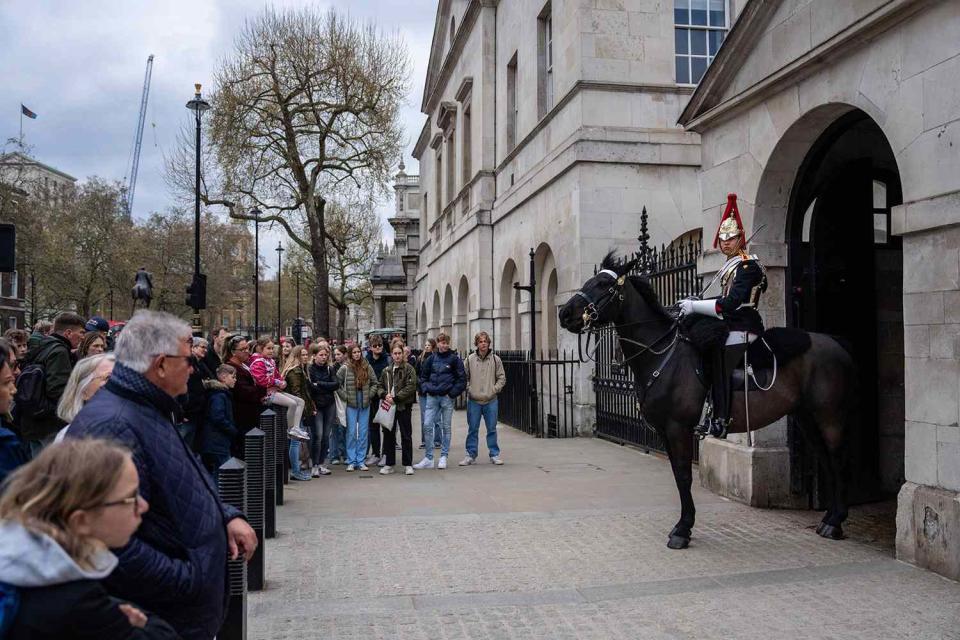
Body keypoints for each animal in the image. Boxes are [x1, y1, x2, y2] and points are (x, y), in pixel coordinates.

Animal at [560, 254, 860, 552]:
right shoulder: (664, 431)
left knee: (838, 459)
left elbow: (683, 475)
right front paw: (684, 525)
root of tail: (835, 342)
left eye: (603, 284)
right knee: (826, 459)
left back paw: (835, 523)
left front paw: (682, 529)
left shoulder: (678, 428)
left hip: (829, 416)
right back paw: (829, 518)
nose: (565, 314)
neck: (661, 355)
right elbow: (677, 473)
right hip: (806, 417)